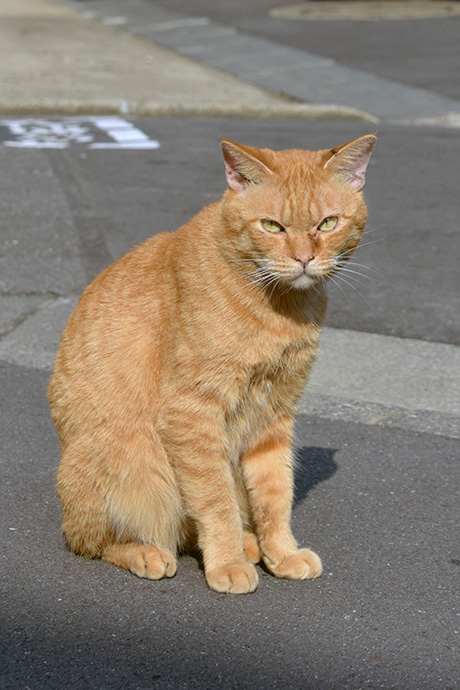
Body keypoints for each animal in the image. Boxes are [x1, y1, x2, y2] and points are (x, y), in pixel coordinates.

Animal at [48, 133, 376, 592]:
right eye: (272, 226)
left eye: (327, 224)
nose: (303, 259)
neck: (281, 307)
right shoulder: (192, 413)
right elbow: (214, 498)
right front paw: (227, 563)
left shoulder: (275, 415)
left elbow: (275, 494)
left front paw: (281, 553)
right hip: (127, 464)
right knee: (94, 541)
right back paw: (150, 552)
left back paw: (250, 544)